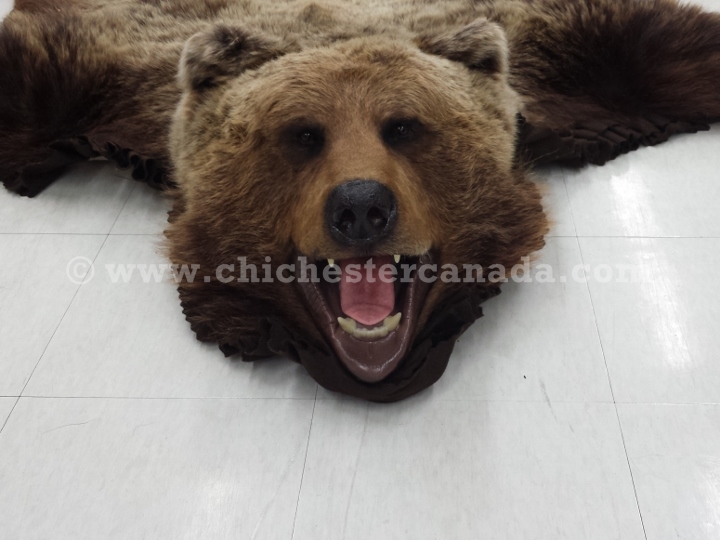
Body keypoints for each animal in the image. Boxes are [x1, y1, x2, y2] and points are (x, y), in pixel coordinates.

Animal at [1, 0, 719, 401]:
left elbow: (662, 48)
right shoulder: (111, 71)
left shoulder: (561, 55)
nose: (360, 207)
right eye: (302, 134)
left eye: (403, 126)